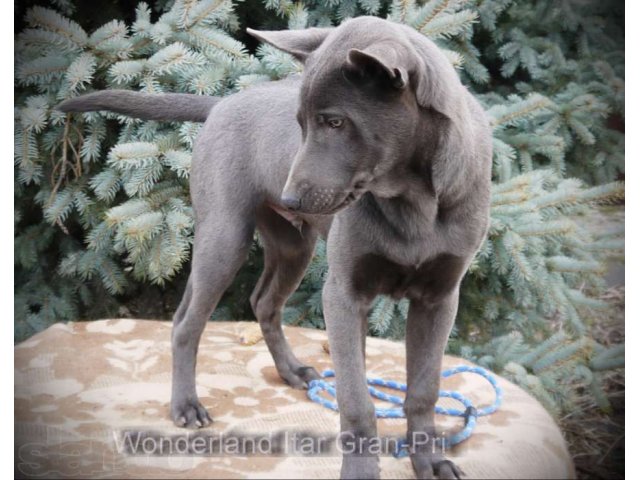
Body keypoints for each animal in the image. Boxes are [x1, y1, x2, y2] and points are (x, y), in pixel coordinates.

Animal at [58, 15, 490, 480]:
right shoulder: (343, 295)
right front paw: (361, 470)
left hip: (293, 246)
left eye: (335, 122)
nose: (290, 200)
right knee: (186, 322)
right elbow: (356, 400)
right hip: (224, 236)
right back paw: (186, 405)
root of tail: (221, 104)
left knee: (263, 302)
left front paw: (430, 461)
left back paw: (291, 370)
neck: (415, 201)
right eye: (300, 123)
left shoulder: (439, 298)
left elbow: (424, 389)